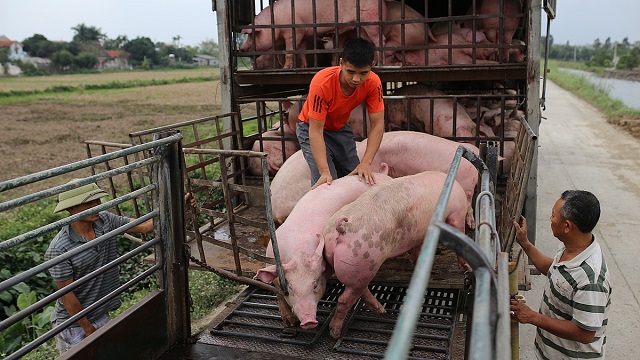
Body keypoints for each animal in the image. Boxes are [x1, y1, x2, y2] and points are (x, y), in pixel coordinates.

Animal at [255, 169, 390, 330]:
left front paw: (382, 311)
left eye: (315, 284)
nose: (308, 322)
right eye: (290, 288)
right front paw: (290, 323)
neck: (298, 254)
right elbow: (279, 295)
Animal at [322, 171, 468, 338]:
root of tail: (342, 227)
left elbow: (417, 249)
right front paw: (465, 267)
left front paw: (415, 261)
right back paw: (335, 333)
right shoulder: (458, 211)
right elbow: (458, 229)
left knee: (359, 289)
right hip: (363, 260)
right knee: (344, 299)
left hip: (356, 268)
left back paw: (381, 310)